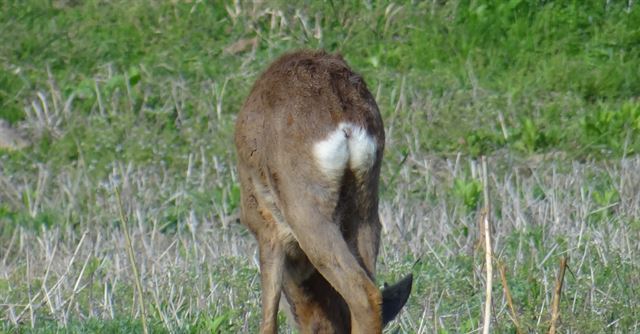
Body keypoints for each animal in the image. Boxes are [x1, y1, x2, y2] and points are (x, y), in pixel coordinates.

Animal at [235, 50, 416, 334]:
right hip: (365, 208)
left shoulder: (264, 227)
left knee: (363, 295)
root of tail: (343, 117)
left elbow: (268, 318)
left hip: (306, 207)